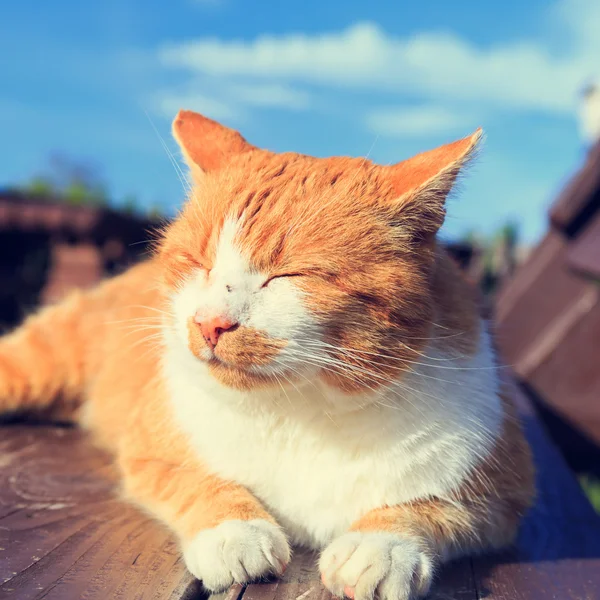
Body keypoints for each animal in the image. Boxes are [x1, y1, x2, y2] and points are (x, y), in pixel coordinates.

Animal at [0, 111, 536, 600]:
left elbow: (435, 508)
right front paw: (235, 533)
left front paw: (380, 547)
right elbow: (196, 481)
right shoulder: (147, 449)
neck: (302, 411)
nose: (209, 322)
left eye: (289, 276)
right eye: (198, 263)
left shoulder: (500, 497)